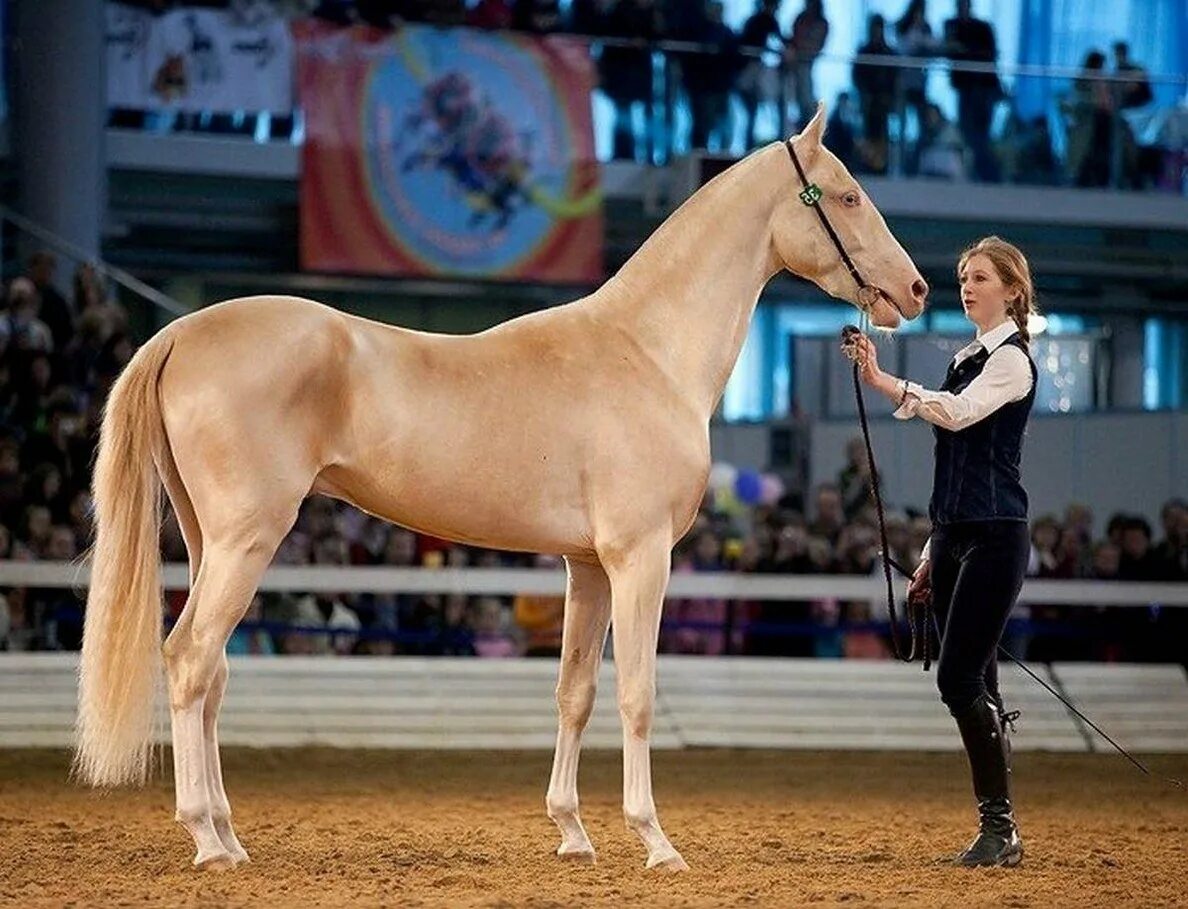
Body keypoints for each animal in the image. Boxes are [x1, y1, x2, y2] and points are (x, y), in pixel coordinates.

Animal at [74, 106, 931, 874]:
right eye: (846, 195)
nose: (918, 289)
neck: (647, 351)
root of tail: (179, 331)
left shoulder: (588, 565)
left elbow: (575, 690)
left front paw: (573, 833)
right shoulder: (641, 557)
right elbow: (639, 693)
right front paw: (656, 841)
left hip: (208, 539)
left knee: (213, 673)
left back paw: (229, 831)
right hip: (247, 540)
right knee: (190, 659)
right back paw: (207, 839)